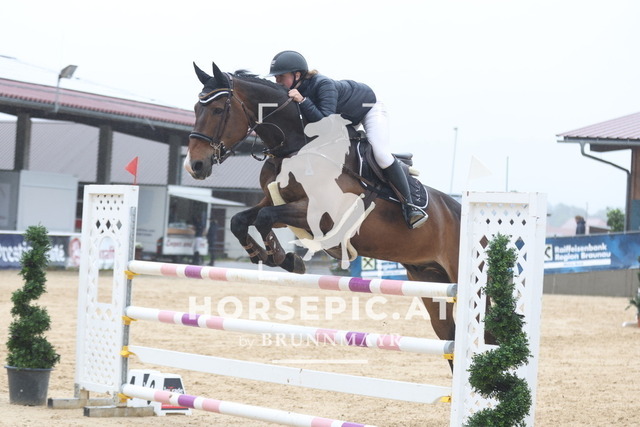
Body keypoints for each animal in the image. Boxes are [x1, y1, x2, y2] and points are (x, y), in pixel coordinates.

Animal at [185, 62, 462, 351]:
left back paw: (414, 213)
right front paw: (267, 256)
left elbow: (264, 218)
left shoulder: (324, 215)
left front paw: (283, 258)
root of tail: (458, 208)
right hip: (428, 278)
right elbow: (242, 220)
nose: (195, 166)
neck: (296, 147)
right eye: (196, 108)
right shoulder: (275, 202)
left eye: (218, 110)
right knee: (448, 332)